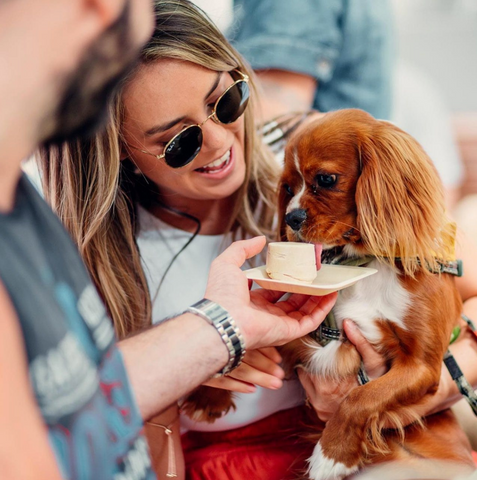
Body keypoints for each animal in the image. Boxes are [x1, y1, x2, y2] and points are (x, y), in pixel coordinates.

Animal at [278, 109, 474, 480]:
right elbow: (277, 343)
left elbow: (361, 398)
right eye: (287, 187)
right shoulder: (323, 334)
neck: (367, 261)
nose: (290, 217)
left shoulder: (422, 366)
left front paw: (331, 454)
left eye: (326, 179)